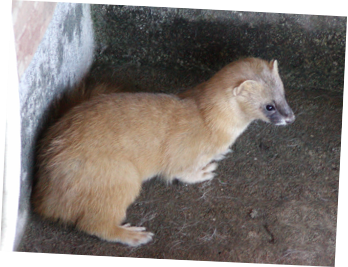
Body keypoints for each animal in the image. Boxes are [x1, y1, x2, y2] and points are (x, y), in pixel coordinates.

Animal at [31, 58, 294, 247]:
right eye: (269, 106)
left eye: (284, 94)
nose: (291, 117)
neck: (210, 123)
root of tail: (46, 194)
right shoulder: (184, 153)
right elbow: (179, 174)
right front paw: (204, 171)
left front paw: (220, 155)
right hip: (121, 176)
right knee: (95, 224)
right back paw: (133, 234)